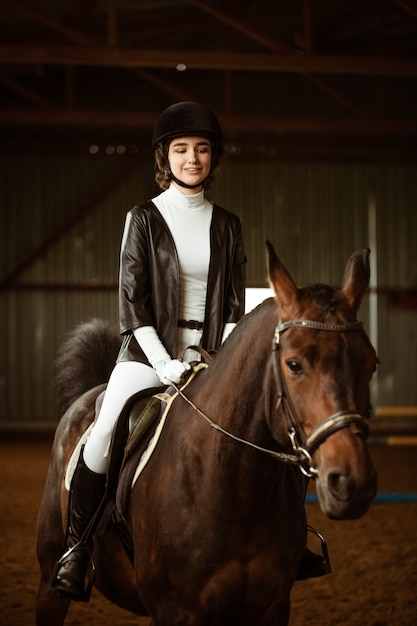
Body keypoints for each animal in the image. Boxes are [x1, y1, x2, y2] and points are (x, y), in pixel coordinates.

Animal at [35, 243, 378, 624]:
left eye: (371, 362)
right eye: (294, 364)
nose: (352, 484)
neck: (236, 490)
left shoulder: (273, 607)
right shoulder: (173, 612)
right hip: (49, 576)